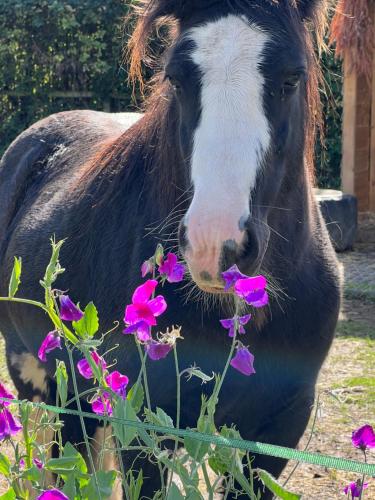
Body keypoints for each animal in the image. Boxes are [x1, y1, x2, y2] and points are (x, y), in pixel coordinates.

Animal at [0, 1, 340, 498]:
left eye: (291, 78)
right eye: (177, 79)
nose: (214, 245)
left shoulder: (279, 428)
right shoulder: (146, 425)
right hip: (49, 387)